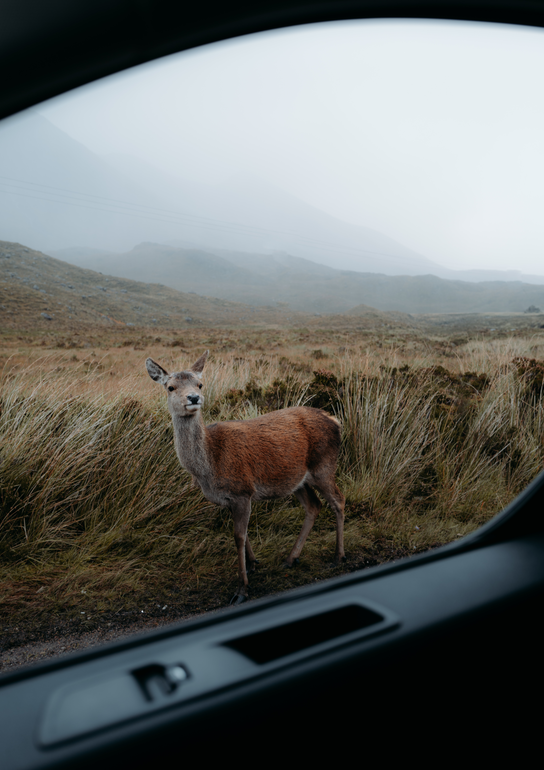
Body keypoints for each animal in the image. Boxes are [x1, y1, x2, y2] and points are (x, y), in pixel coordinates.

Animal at [146, 352, 344, 604]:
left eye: (200, 384)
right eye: (170, 387)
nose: (193, 397)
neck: (209, 467)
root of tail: (336, 421)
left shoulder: (243, 491)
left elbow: (238, 536)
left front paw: (242, 589)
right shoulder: (231, 499)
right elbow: (243, 533)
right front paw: (252, 564)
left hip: (324, 467)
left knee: (338, 500)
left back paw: (338, 556)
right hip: (297, 479)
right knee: (314, 506)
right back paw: (291, 558)